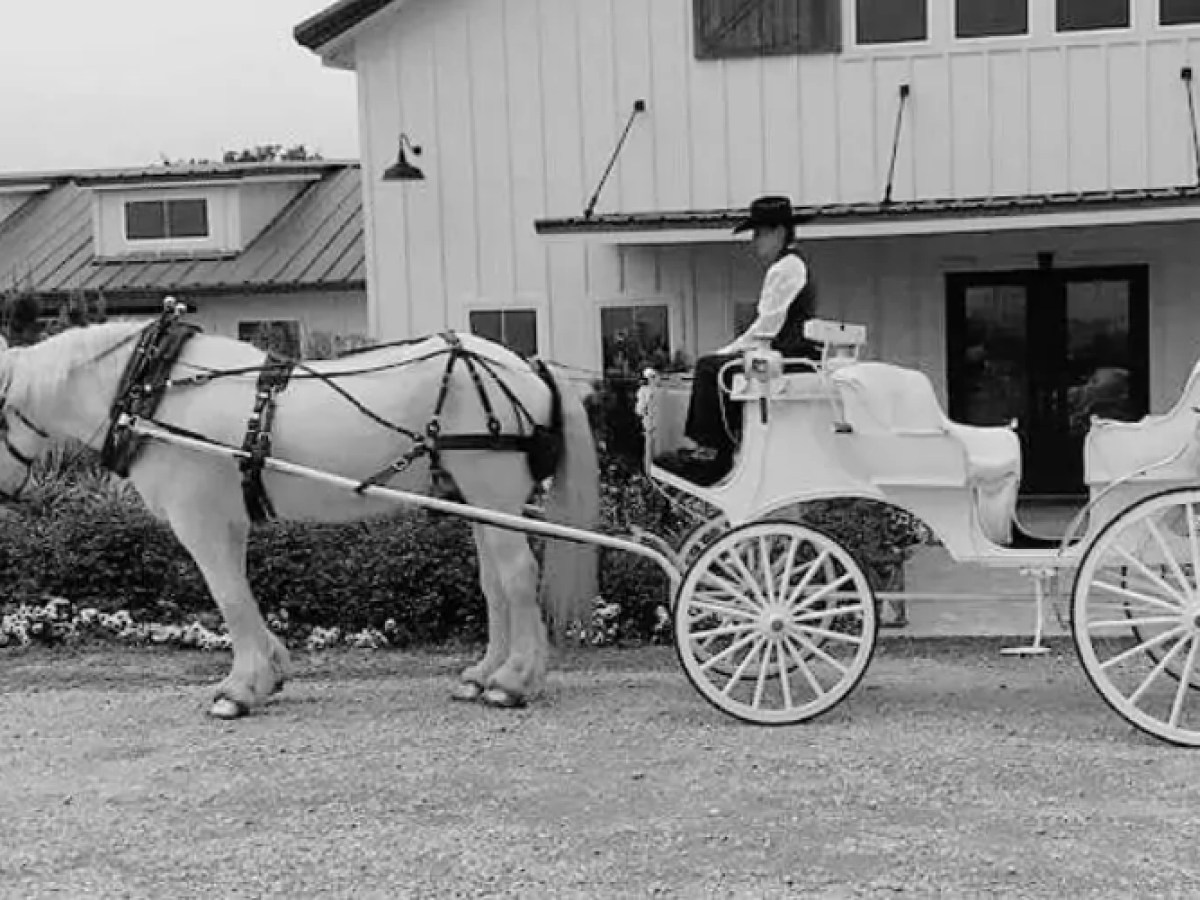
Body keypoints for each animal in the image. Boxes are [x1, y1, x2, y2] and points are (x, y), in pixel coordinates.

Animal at [0, 311, 600, 718]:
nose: (7, 493)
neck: (154, 392)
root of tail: (526, 368)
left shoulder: (199, 521)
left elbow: (229, 597)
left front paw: (240, 689)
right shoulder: (229, 522)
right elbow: (241, 594)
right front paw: (270, 671)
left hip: (492, 491)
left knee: (517, 577)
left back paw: (514, 682)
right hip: (476, 499)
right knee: (494, 583)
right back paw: (483, 674)